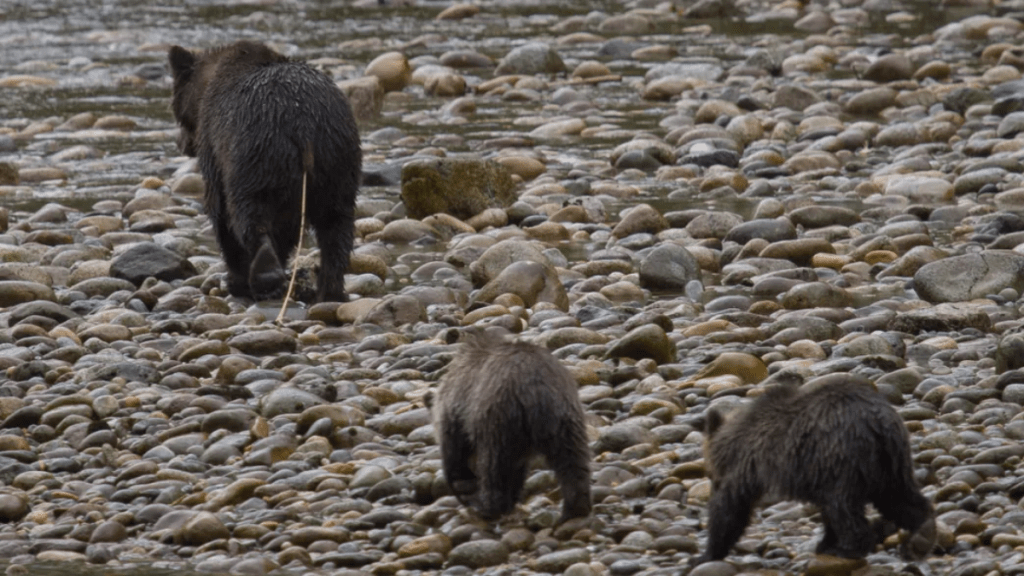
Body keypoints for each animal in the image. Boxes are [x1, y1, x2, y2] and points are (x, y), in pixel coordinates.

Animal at [168, 40, 360, 303]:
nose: (180, 143)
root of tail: (304, 125)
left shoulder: (215, 145)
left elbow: (219, 210)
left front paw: (236, 279)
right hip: (337, 159)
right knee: (336, 224)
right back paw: (329, 290)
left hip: (258, 153)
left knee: (250, 214)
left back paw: (265, 276)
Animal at [432, 327, 592, 522]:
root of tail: (536, 388)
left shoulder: (458, 406)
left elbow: (455, 451)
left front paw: (463, 486)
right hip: (565, 415)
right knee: (573, 460)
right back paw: (576, 508)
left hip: (498, 415)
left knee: (494, 464)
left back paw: (488, 507)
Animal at [694, 378, 936, 566]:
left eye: (712, 475)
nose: (712, 484)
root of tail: (878, 422)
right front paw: (825, 542)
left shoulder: (747, 464)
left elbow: (732, 506)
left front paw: (706, 554)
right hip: (892, 461)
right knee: (899, 499)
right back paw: (922, 533)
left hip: (844, 455)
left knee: (843, 506)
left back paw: (849, 548)